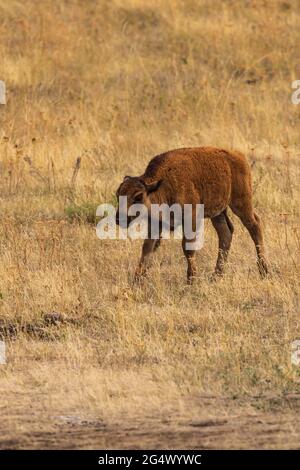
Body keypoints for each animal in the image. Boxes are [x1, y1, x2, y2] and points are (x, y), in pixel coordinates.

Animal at [116, 148, 268, 282]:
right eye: (118, 194)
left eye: (138, 196)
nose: (119, 218)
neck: (163, 185)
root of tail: (239, 156)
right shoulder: (155, 225)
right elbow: (147, 248)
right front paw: (137, 280)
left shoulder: (191, 219)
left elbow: (187, 247)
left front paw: (191, 279)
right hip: (218, 213)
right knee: (225, 233)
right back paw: (216, 275)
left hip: (241, 203)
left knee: (254, 226)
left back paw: (264, 270)